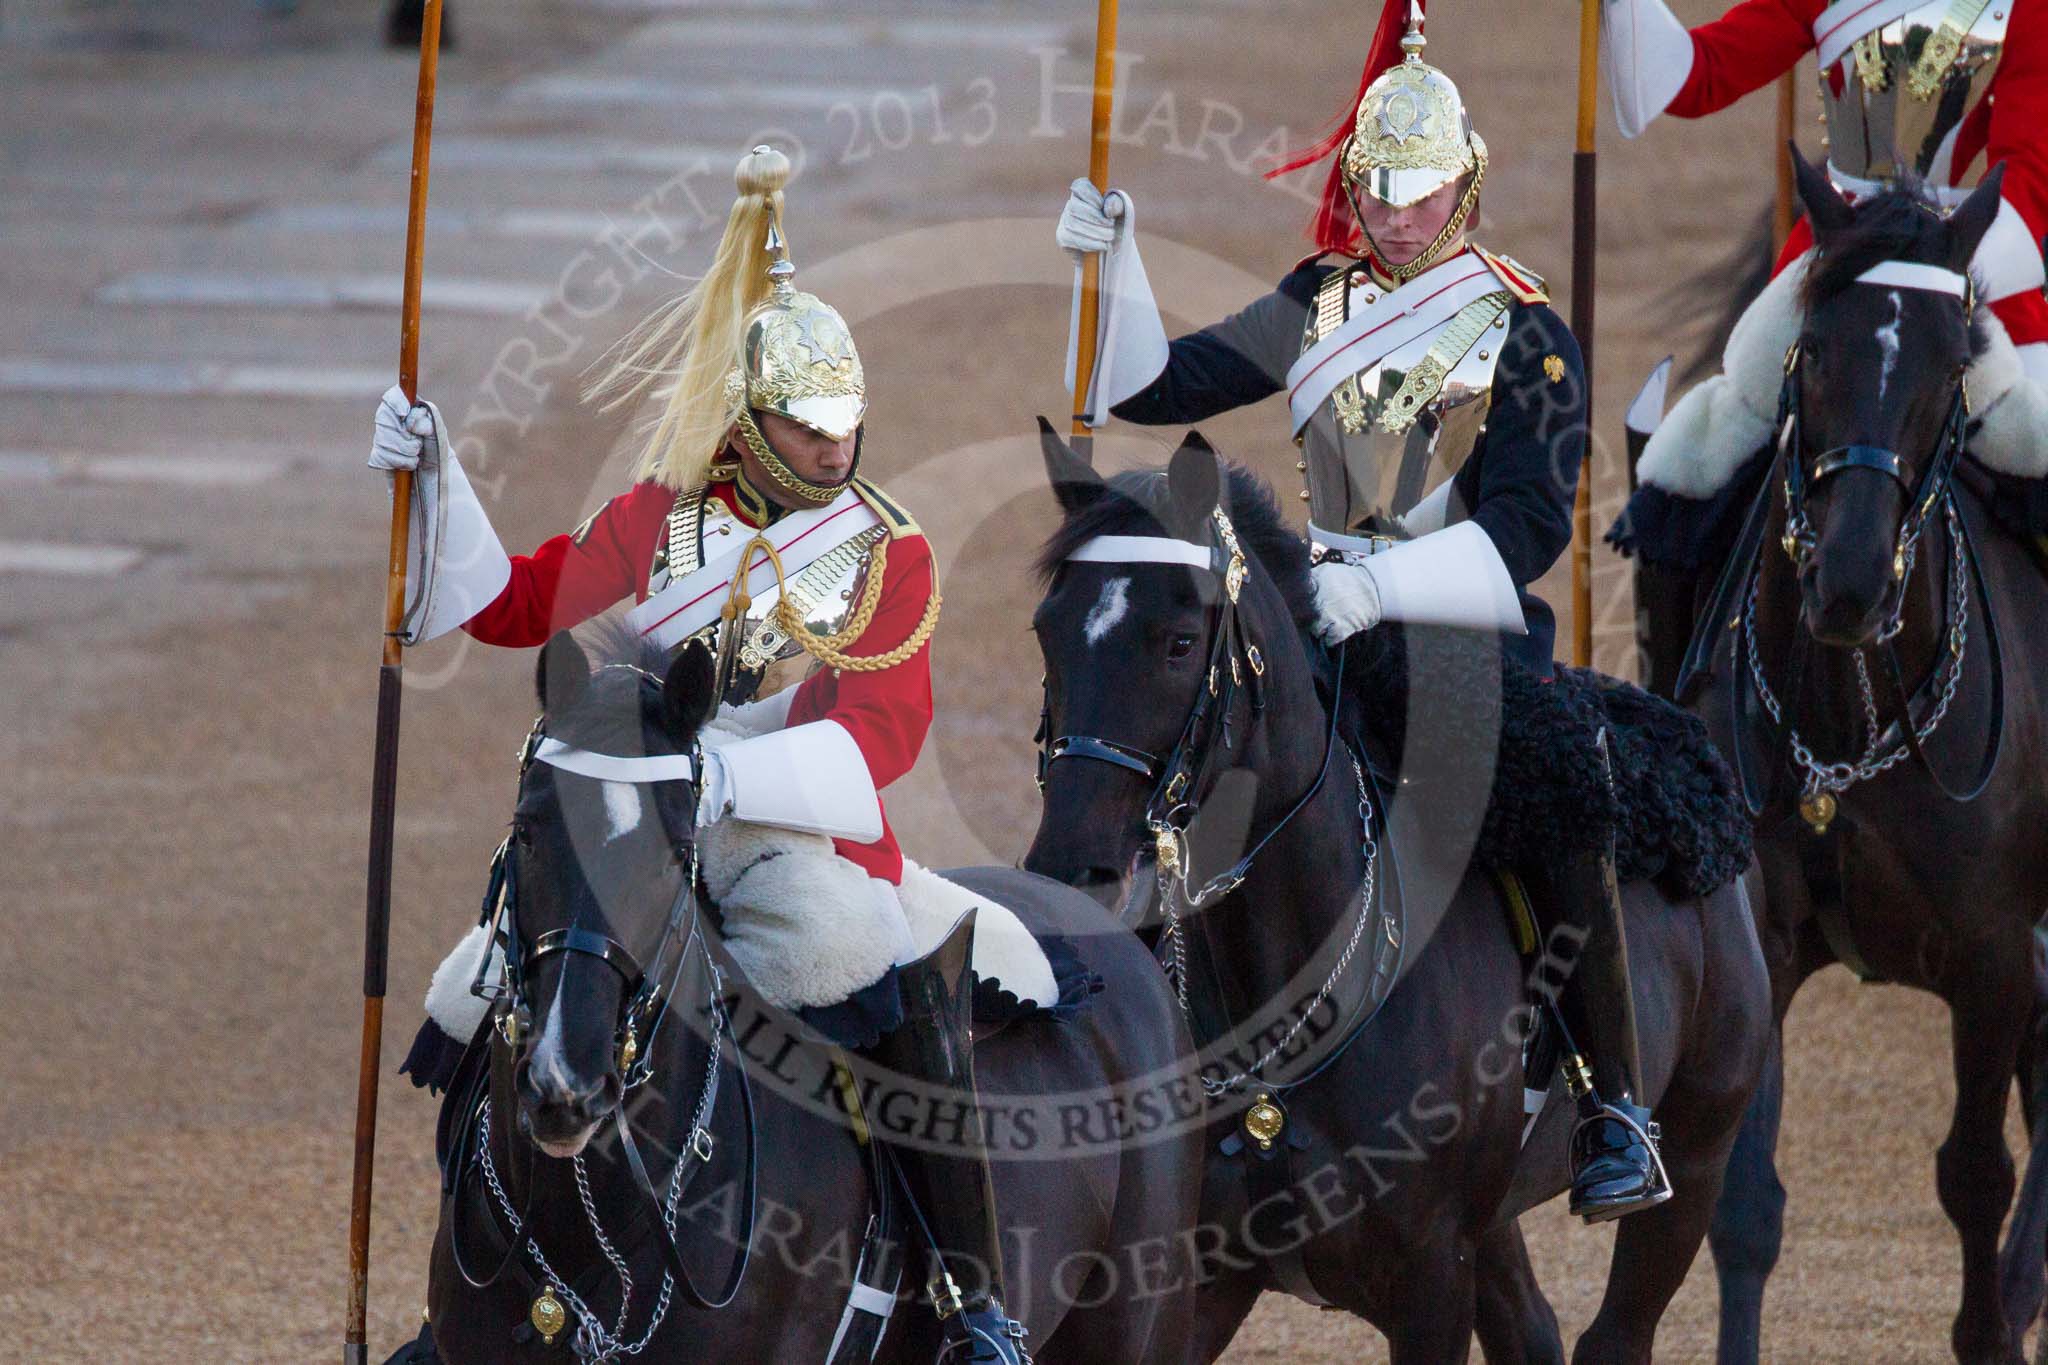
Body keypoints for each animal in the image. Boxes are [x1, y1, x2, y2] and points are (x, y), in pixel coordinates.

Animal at [1024, 421, 1777, 1358]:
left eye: (1178, 641)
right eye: (1048, 632)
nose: (1071, 867)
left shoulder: (1429, 1280)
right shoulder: (1200, 1281)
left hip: (1700, 1147)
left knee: (1619, 1326)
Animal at [1687, 154, 2048, 1358]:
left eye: (1952, 365)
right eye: (1814, 351)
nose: (1846, 582)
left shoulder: (1993, 956)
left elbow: (1973, 1177)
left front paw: (1996, 1319)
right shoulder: (1764, 938)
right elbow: (1744, 1206)